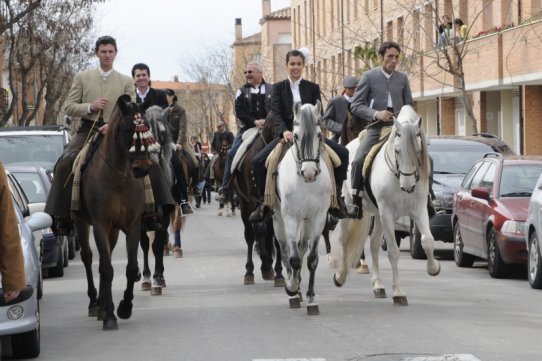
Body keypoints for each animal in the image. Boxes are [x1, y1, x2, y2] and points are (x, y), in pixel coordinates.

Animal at [73, 95, 156, 330]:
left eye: (147, 128)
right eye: (128, 129)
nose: (141, 168)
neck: (118, 176)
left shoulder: (132, 225)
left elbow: (130, 268)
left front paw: (124, 307)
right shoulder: (100, 225)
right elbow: (107, 268)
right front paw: (110, 315)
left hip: (114, 230)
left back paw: (102, 304)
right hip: (82, 224)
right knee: (89, 258)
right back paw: (96, 304)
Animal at [233, 116, 284, 286]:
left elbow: (275, 237)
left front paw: (278, 273)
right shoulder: (252, 202)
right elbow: (257, 232)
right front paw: (261, 268)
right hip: (244, 205)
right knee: (251, 234)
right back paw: (254, 269)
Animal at [276, 100, 332, 314]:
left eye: (319, 135)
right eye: (296, 136)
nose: (309, 172)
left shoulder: (318, 218)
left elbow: (312, 258)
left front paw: (311, 298)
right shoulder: (290, 217)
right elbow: (293, 258)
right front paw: (291, 288)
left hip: (306, 221)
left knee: (301, 247)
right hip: (278, 218)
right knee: (284, 249)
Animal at [332, 104, 442, 304]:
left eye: (419, 150)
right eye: (397, 151)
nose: (408, 185)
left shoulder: (419, 210)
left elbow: (427, 241)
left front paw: (433, 268)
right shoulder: (388, 214)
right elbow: (393, 252)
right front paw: (398, 291)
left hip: (377, 215)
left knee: (374, 244)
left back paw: (378, 286)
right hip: (353, 210)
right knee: (345, 241)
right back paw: (341, 276)